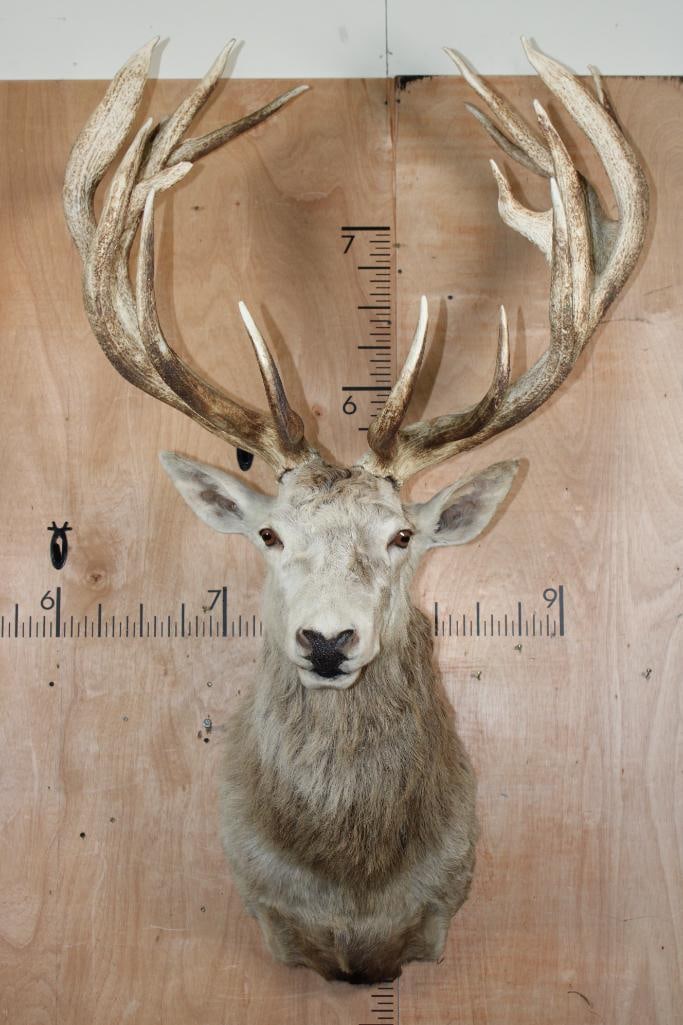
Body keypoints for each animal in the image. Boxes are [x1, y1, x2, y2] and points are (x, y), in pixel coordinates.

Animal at [63, 37, 647, 984]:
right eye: (269, 532)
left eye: (402, 534)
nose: (329, 639)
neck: (351, 889)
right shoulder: (275, 922)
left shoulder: (436, 913)